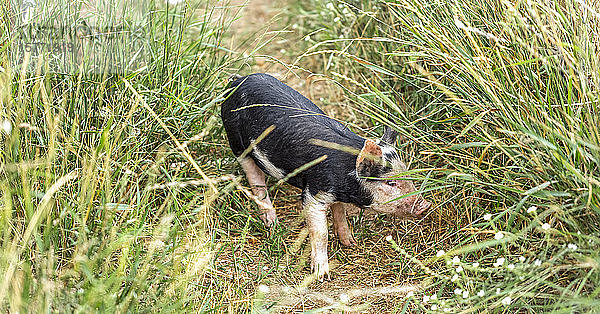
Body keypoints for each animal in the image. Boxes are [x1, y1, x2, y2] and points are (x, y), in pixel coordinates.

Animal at [220, 73, 432, 280]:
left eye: (408, 175)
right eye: (391, 182)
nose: (425, 205)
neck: (346, 179)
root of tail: (237, 81)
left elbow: (340, 212)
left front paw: (350, 242)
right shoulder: (313, 194)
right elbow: (321, 233)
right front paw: (321, 274)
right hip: (237, 144)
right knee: (255, 179)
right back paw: (272, 224)